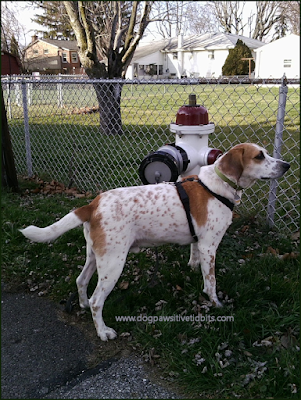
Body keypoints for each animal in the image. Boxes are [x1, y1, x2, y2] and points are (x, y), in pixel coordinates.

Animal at [20, 144, 288, 340]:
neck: (217, 186)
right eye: (259, 156)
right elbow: (210, 282)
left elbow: (195, 258)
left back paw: (83, 304)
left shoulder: (199, 242)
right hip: (113, 263)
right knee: (98, 301)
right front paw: (216, 303)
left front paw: (193, 268)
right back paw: (103, 331)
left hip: (95, 256)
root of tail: (93, 204)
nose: (286, 165)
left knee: (81, 281)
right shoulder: (210, 246)